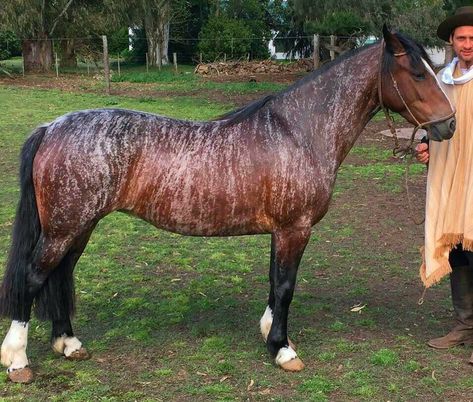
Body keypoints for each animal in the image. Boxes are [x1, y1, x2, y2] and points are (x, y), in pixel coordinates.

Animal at [0, 25, 456, 384]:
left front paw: (270, 332)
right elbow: (286, 286)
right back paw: (18, 360)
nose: (449, 124)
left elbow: (275, 281)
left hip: (78, 227)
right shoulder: (295, 229)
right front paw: (283, 350)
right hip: (64, 229)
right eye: (417, 72)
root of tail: (52, 126)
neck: (298, 131)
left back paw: (68, 343)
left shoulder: (282, 231)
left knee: (59, 275)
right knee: (34, 277)